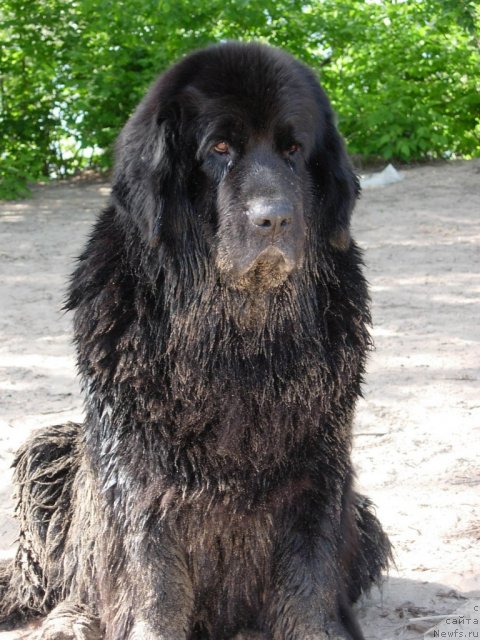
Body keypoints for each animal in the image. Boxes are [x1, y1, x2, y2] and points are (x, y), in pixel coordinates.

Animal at [0, 42, 390, 636]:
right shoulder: (136, 469)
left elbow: (310, 573)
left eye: (294, 150)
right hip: (45, 451)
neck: (233, 335)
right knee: (63, 580)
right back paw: (70, 619)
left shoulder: (320, 464)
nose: (274, 218)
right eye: (220, 148)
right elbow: (151, 575)